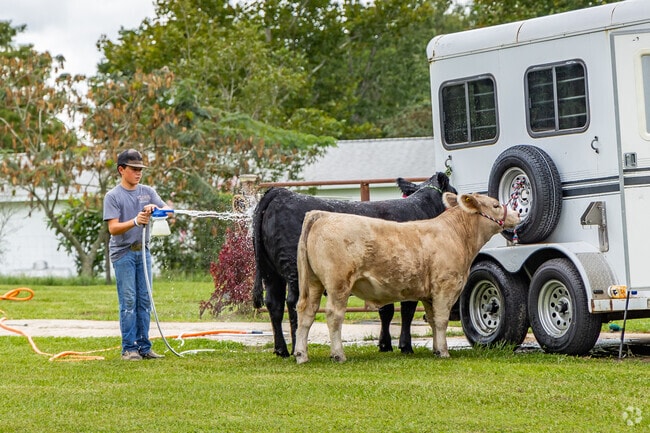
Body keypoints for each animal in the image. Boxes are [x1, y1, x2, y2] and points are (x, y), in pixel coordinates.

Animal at [252, 172, 456, 358]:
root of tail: (281, 192)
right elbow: (406, 311)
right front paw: (405, 346)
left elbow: (387, 310)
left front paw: (385, 345)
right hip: (295, 271)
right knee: (294, 303)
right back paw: (296, 347)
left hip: (270, 272)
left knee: (274, 304)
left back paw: (281, 350)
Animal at [294, 192, 521, 363]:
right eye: (496, 205)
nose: (518, 214)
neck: (456, 234)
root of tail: (322, 215)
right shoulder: (445, 286)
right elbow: (441, 320)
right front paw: (444, 351)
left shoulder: (430, 294)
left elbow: (432, 320)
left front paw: (436, 349)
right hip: (338, 283)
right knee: (334, 315)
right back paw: (338, 354)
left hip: (313, 282)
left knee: (306, 312)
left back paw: (301, 354)